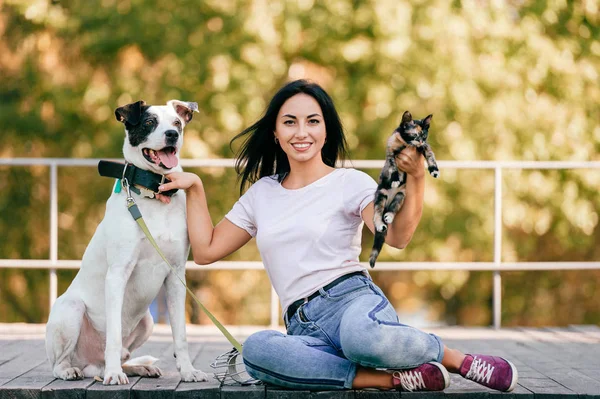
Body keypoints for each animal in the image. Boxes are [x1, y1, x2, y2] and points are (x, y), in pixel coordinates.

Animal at [45, 99, 207, 384]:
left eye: (177, 123)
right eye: (149, 122)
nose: (172, 135)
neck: (153, 193)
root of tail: (90, 363)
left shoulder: (176, 276)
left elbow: (181, 335)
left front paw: (188, 371)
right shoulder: (118, 273)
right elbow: (113, 336)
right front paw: (114, 375)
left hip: (147, 322)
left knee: (118, 358)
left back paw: (137, 368)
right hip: (71, 308)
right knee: (61, 362)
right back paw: (76, 370)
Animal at [368, 110, 438, 268]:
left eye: (424, 135)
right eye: (415, 135)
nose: (420, 141)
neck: (406, 143)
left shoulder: (425, 147)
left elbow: (430, 154)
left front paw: (434, 170)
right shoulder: (391, 151)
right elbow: (393, 165)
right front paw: (395, 178)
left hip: (400, 196)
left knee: (392, 209)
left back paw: (389, 216)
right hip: (380, 195)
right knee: (377, 214)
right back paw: (380, 223)